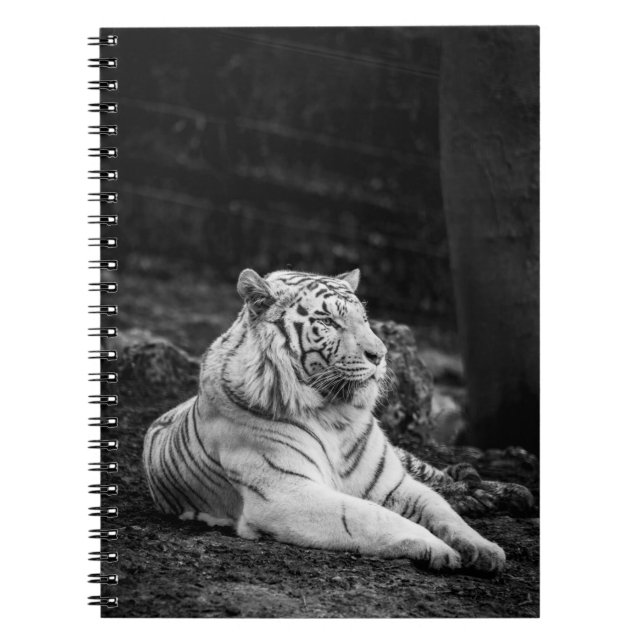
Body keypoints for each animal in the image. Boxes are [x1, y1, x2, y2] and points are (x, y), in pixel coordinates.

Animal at [142, 268, 506, 571]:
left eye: (365, 320)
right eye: (329, 322)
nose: (381, 355)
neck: (336, 414)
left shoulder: (392, 483)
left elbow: (441, 509)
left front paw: (485, 548)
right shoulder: (286, 493)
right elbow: (371, 516)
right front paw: (440, 549)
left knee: (442, 476)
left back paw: (488, 493)